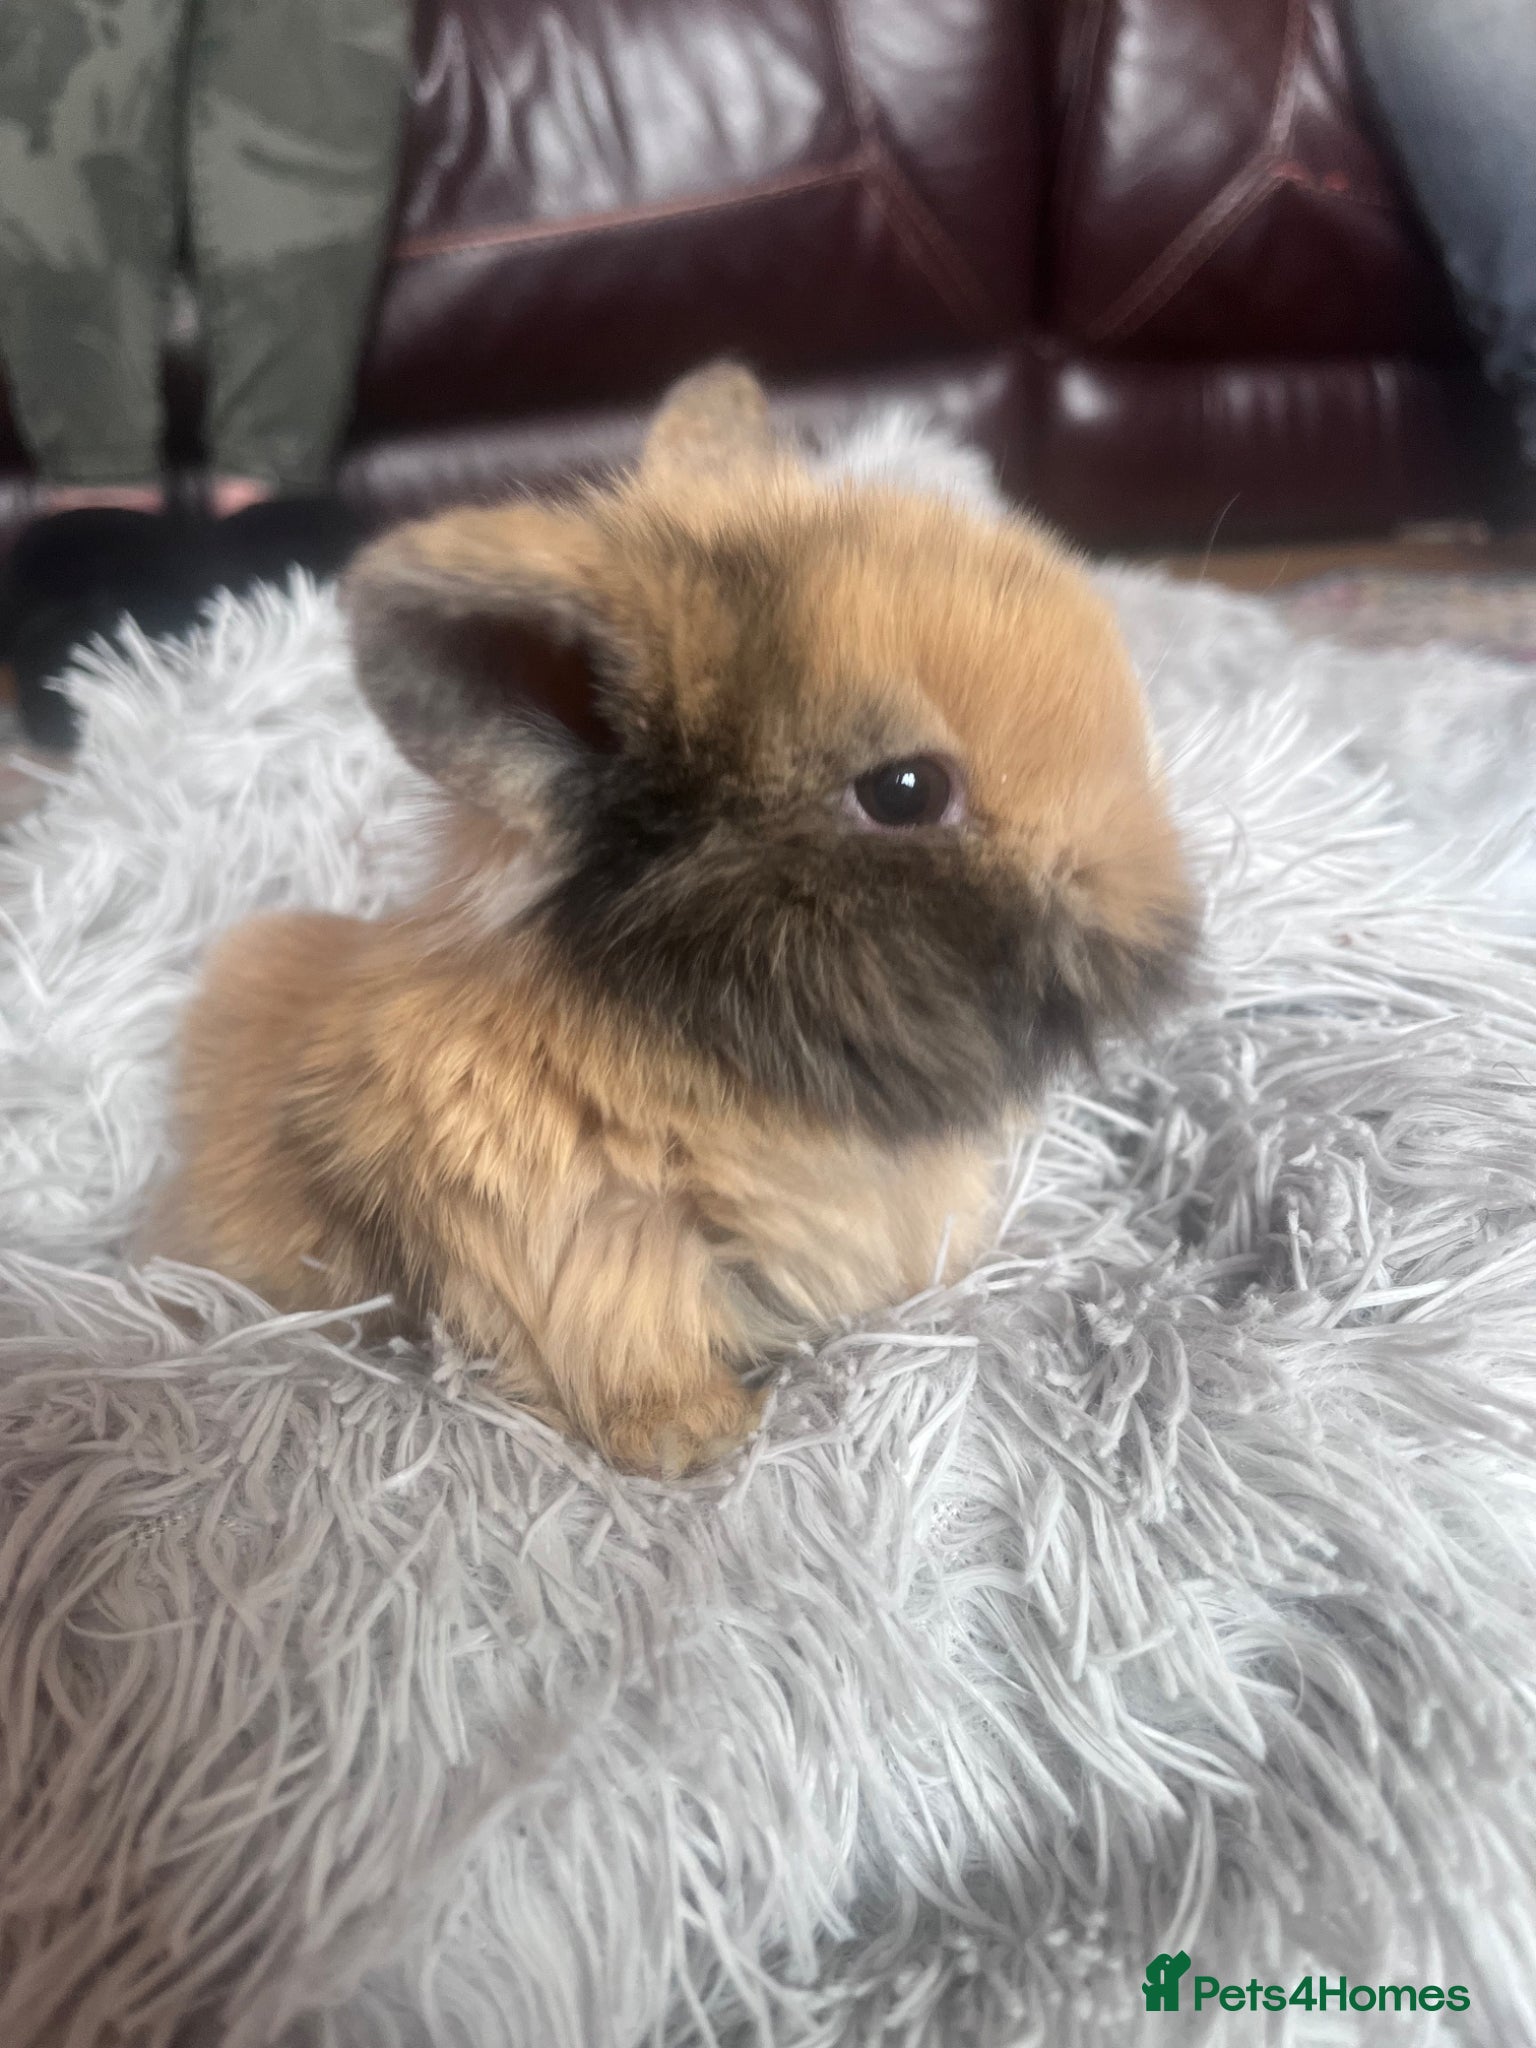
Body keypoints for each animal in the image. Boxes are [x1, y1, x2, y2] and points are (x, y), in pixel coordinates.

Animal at [148, 363, 1194, 1477]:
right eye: (904, 791)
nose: (1165, 925)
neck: (690, 1033)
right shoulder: (593, 1238)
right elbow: (635, 1351)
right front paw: (697, 1439)